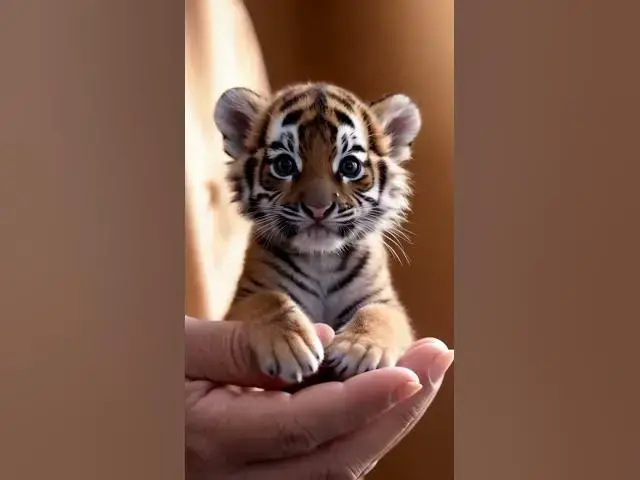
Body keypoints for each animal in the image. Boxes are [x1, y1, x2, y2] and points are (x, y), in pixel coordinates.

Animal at [213, 82, 421, 384]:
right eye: (284, 165)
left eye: (350, 166)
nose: (318, 208)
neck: (321, 258)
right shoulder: (244, 298)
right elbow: (269, 299)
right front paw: (290, 345)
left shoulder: (386, 301)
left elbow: (378, 313)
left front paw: (359, 348)